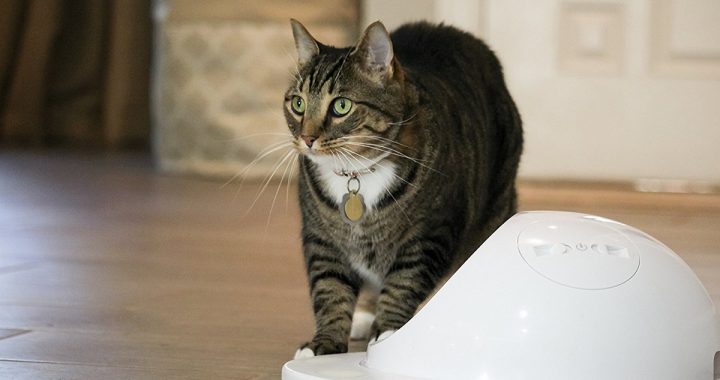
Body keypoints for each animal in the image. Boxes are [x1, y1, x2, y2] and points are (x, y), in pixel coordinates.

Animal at [282, 19, 524, 358]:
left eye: (341, 106)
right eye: (298, 103)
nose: (307, 138)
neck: (356, 174)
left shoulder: (429, 232)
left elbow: (403, 282)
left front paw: (388, 333)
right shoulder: (322, 239)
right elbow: (330, 290)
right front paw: (324, 343)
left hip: (496, 204)